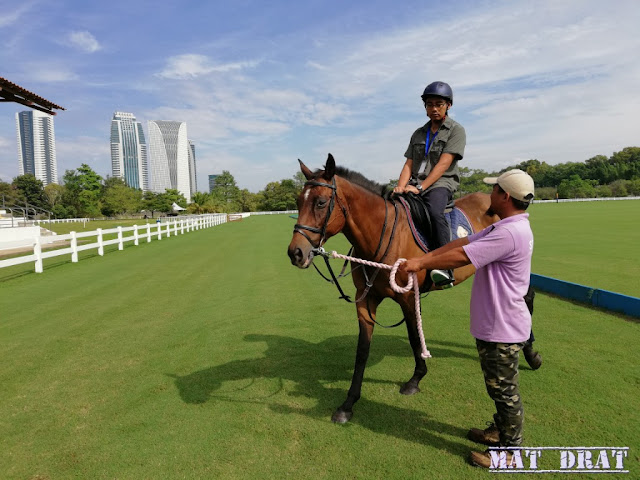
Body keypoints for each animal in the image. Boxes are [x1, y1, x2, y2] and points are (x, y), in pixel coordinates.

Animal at [286, 155, 500, 424]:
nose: (296, 252)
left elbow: (414, 337)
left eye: (321, 202)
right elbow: (362, 350)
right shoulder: (365, 300)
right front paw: (348, 403)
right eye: (297, 202)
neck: (382, 234)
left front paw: (415, 379)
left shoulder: (408, 297)